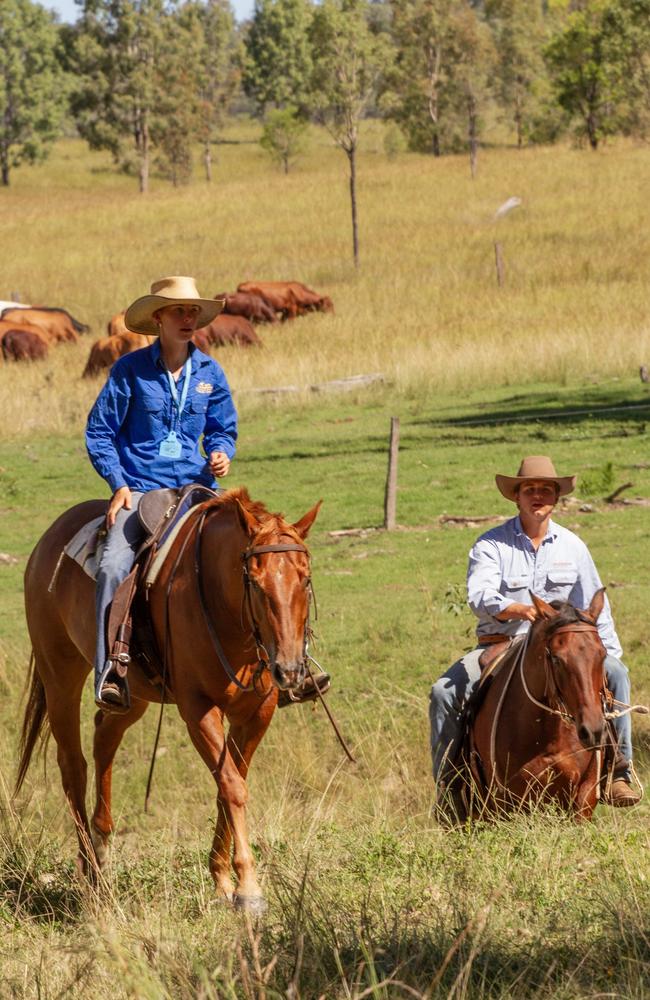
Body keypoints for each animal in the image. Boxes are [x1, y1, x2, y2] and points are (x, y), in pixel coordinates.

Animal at [15, 488, 318, 912]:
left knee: (104, 736)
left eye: (304, 579)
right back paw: (91, 876)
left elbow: (229, 785)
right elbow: (232, 786)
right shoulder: (198, 709)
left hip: (133, 693)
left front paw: (222, 879)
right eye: (255, 584)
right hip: (59, 675)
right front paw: (248, 887)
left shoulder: (258, 712)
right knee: (73, 766)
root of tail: (49, 538)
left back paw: (102, 849)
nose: (289, 669)